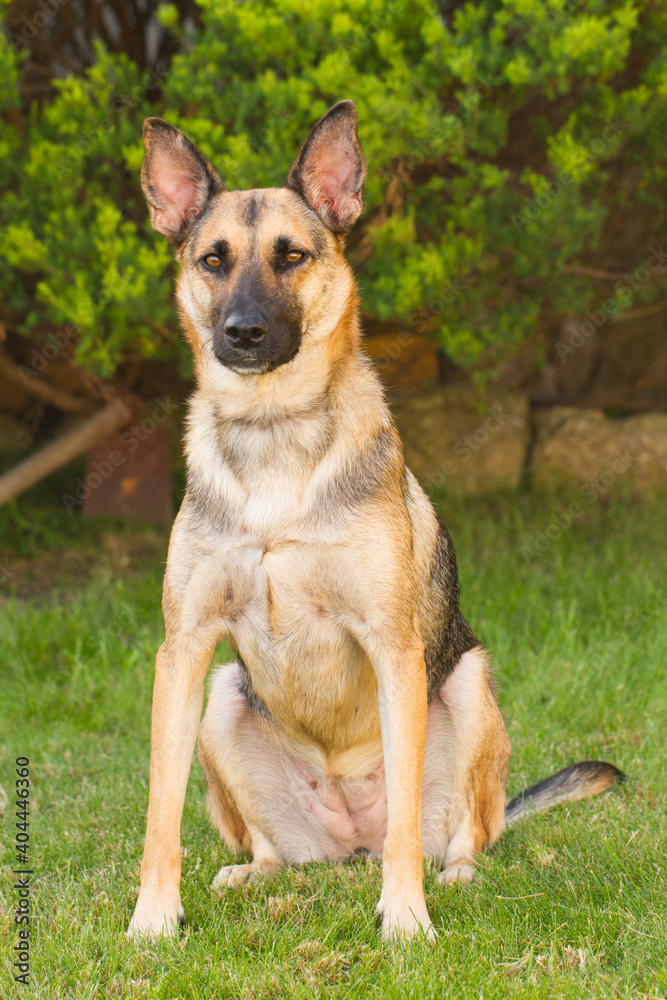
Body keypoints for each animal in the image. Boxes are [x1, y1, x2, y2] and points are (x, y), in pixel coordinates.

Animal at [128, 101, 624, 944]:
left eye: (291, 257)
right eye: (213, 261)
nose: (242, 333)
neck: (275, 430)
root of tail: (344, 846)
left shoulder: (392, 647)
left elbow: (405, 820)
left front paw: (405, 921)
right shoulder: (183, 649)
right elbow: (159, 809)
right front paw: (153, 920)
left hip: (468, 685)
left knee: (454, 831)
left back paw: (451, 875)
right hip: (224, 699)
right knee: (271, 847)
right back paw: (251, 873)